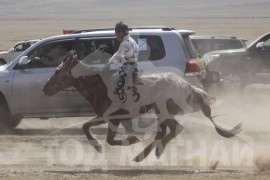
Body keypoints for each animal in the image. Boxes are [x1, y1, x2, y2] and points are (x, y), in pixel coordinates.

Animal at [43, 51, 242, 162]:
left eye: (57, 71)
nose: (45, 89)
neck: (100, 86)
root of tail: (187, 86)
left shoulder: (113, 118)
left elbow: (106, 137)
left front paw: (125, 141)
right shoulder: (107, 117)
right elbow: (87, 126)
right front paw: (101, 145)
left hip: (164, 112)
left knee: (173, 129)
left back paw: (150, 153)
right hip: (162, 113)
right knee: (166, 131)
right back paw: (148, 154)